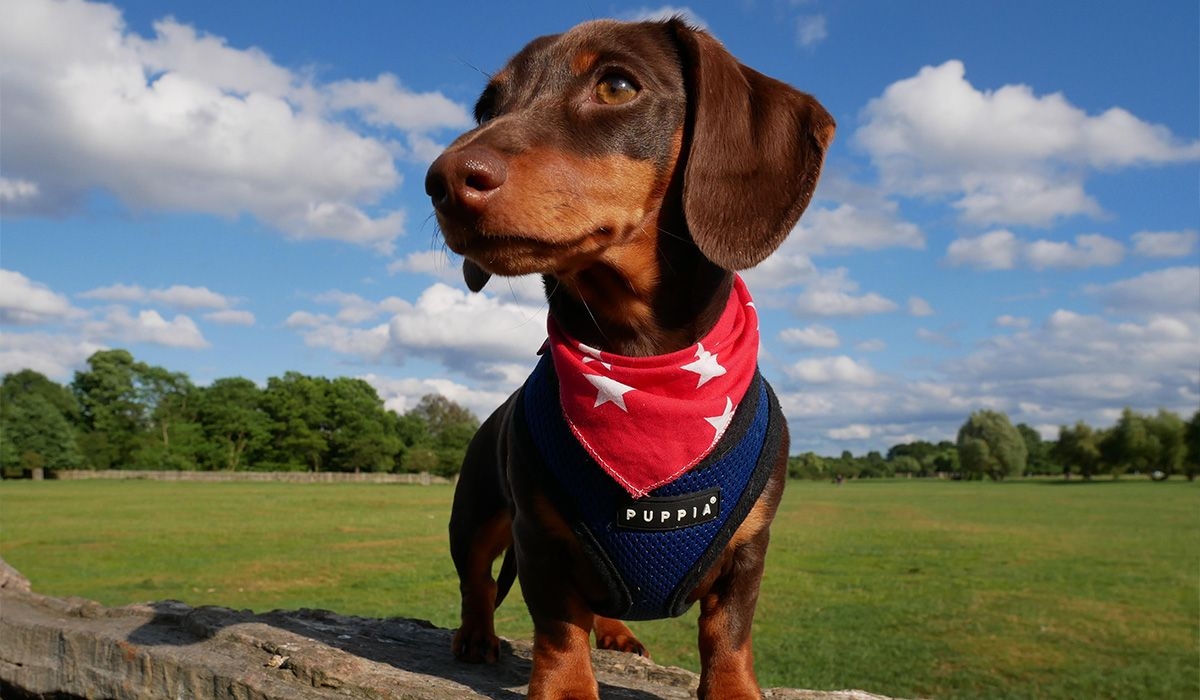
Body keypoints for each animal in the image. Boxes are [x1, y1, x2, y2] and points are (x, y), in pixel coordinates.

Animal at [424, 16, 835, 700]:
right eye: (487, 107)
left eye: (616, 85)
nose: (443, 182)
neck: (644, 368)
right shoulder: (538, 539)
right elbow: (558, 626)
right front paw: (565, 687)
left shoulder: (750, 548)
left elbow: (728, 632)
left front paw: (732, 688)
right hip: (475, 514)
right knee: (477, 581)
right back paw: (477, 636)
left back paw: (615, 631)